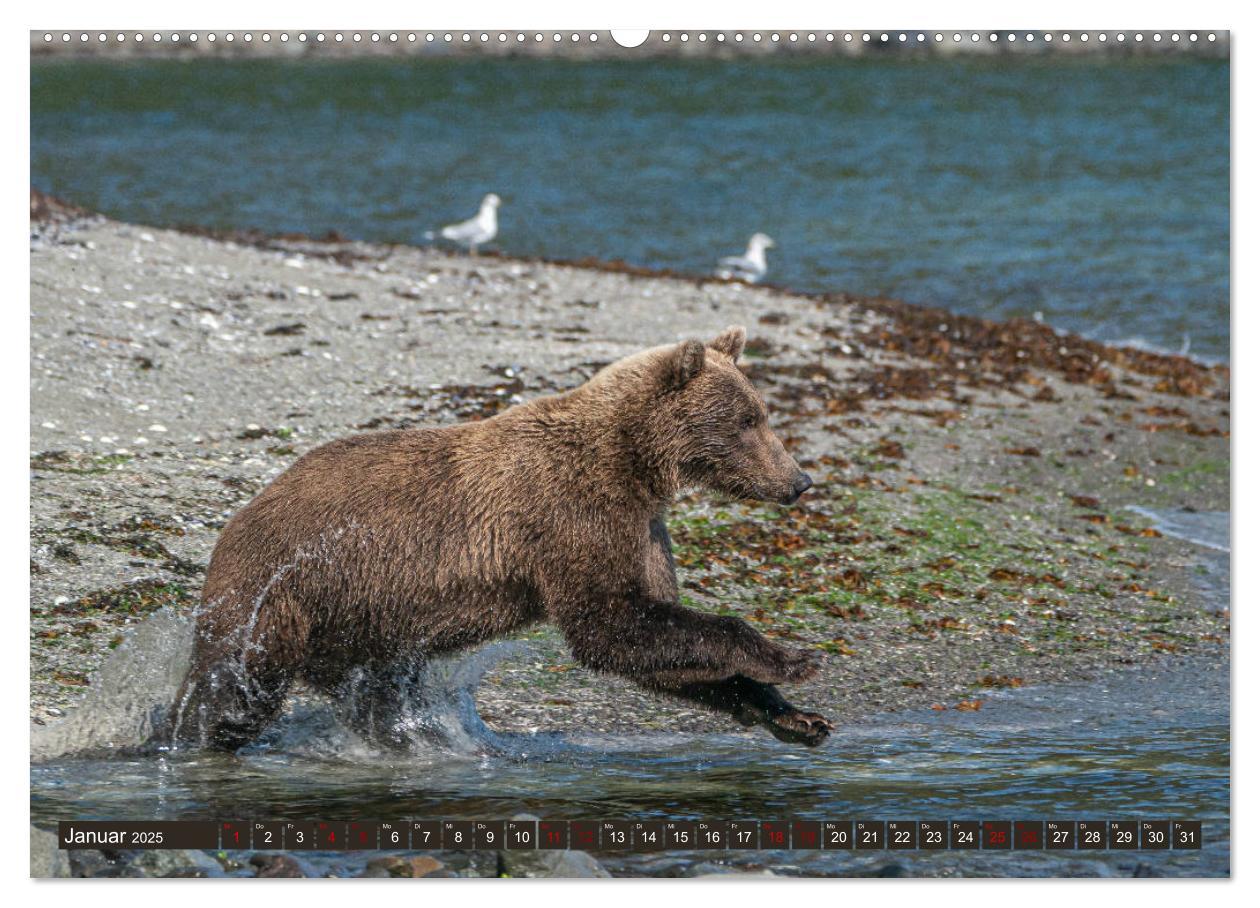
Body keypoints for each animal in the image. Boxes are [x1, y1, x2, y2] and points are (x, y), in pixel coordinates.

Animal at [170, 324, 836, 750]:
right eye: (748, 420)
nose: (799, 480)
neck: (635, 464)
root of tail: (234, 522)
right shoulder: (570, 515)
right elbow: (611, 626)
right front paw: (794, 658)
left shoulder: (640, 530)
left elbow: (658, 642)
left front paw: (795, 716)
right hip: (287, 593)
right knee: (234, 688)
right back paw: (189, 735)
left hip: (357, 622)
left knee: (370, 691)